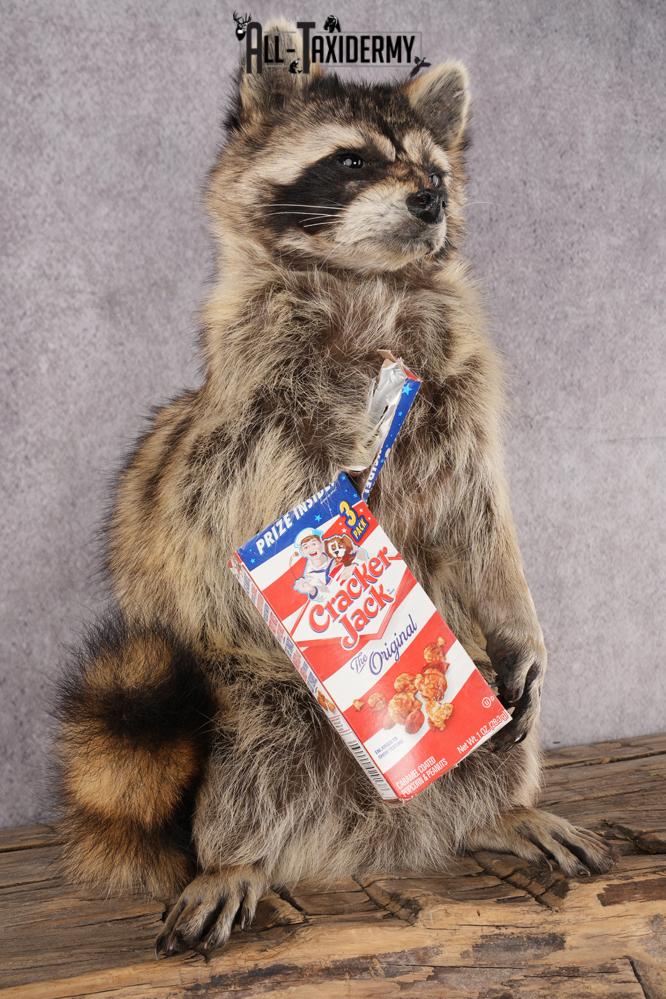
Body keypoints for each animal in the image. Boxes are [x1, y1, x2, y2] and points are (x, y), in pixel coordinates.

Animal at [55, 23, 613, 958]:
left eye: (434, 167)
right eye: (352, 160)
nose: (429, 199)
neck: (369, 282)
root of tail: (361, 834)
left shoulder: (458, 396)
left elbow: (480, 515)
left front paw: (521, 622)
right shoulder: (255, 411)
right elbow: (255, 495)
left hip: (476, 694)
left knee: (501, 728)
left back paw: (497, 810)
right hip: (241, 682)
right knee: (256, 741)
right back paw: (235, 854)